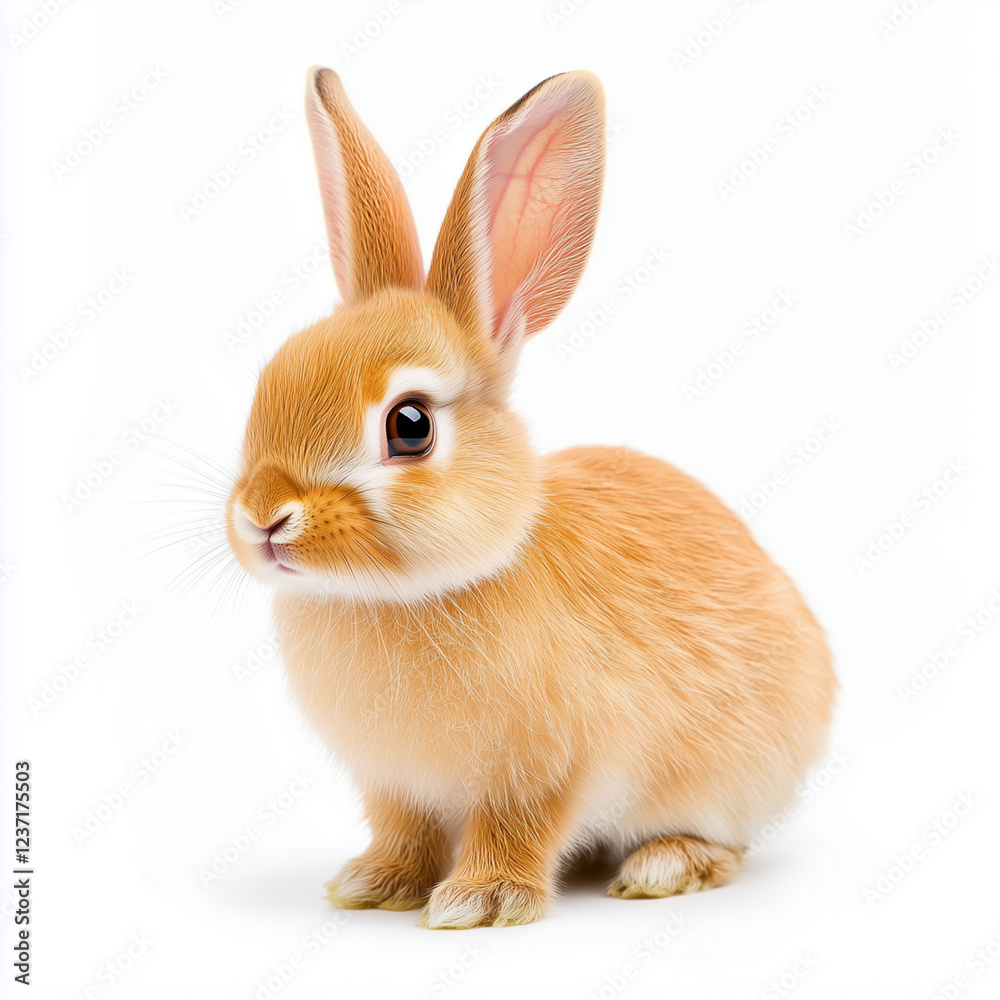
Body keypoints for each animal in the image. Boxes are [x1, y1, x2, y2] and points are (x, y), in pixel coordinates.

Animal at [224, 66, 837, 929]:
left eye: (409, 425)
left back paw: (664, 865)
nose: (262, 518)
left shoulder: (549, 767)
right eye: (267, 382)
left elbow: (518, 828)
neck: (409, 594)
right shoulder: (394, 786)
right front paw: (376, 883)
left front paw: (479, 901)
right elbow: (404, 831)